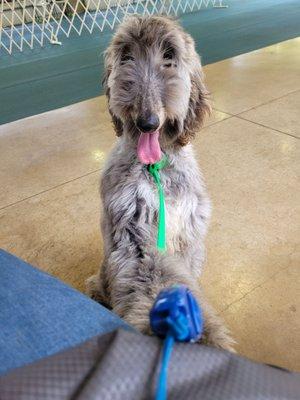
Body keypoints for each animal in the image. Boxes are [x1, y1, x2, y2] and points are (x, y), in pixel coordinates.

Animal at [86, 14, 234, 350]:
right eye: (126, 56)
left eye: (170, 56)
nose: (147, 122)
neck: (156, 168)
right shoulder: (132, 231)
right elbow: (152, 270)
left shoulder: (190, 234)